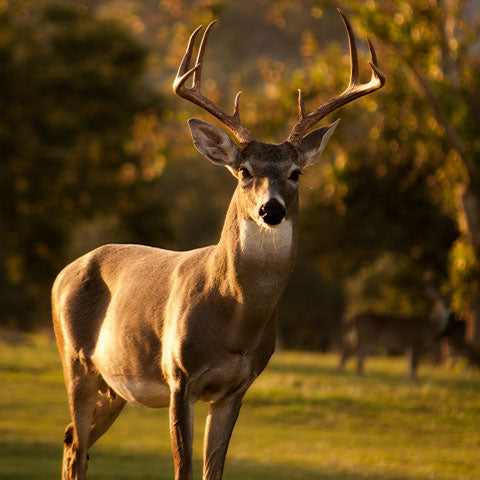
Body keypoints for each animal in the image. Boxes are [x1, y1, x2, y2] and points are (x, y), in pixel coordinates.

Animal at [50, 11, 384, 480]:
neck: (235, 320)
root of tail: (63, 272)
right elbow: (183, 469)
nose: (271, 209)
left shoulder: (236, 388)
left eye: (296, 172)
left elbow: (214, 470)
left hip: (113, 387)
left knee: (69, 440)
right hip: (76, 361)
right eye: (244, 171)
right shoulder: (179, 377)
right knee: (77, 445)